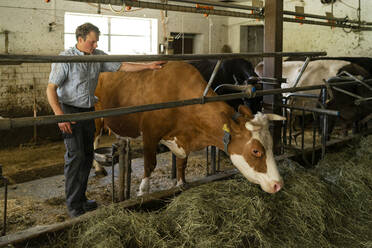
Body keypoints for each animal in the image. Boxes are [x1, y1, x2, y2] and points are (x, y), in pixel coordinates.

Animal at [93, 61, 284, 195]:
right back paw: (99, 169)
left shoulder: (182, 140)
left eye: (270, 144)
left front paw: (180, 184)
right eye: (256, 151)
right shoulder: (149, 134)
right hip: (95, 119)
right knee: (93, 142)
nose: (278, 184)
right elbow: (150, 164)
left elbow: (181, 165)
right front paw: (142, 191)